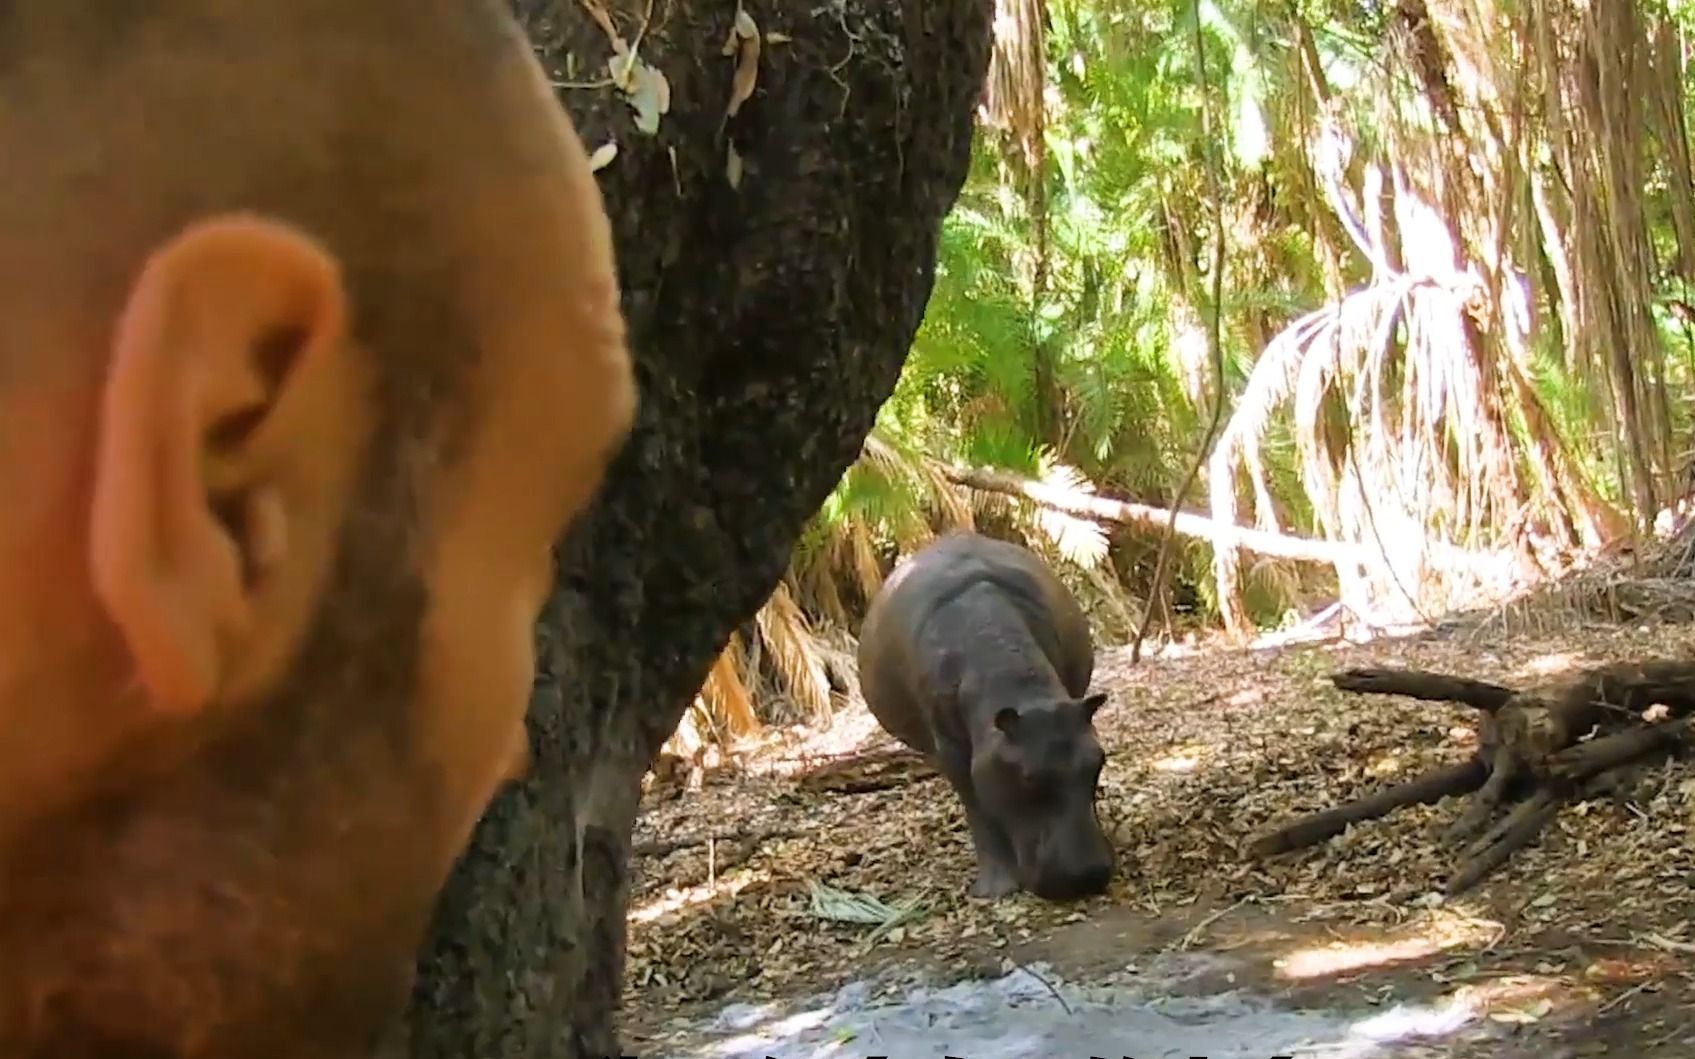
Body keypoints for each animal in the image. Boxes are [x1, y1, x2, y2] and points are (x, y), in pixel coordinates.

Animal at [861, 532, 1111, 894]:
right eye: (1028, 777)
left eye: (1099, 760)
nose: (1088, 875)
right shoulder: (951, 745)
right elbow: (976, 804)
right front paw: (995, 890)